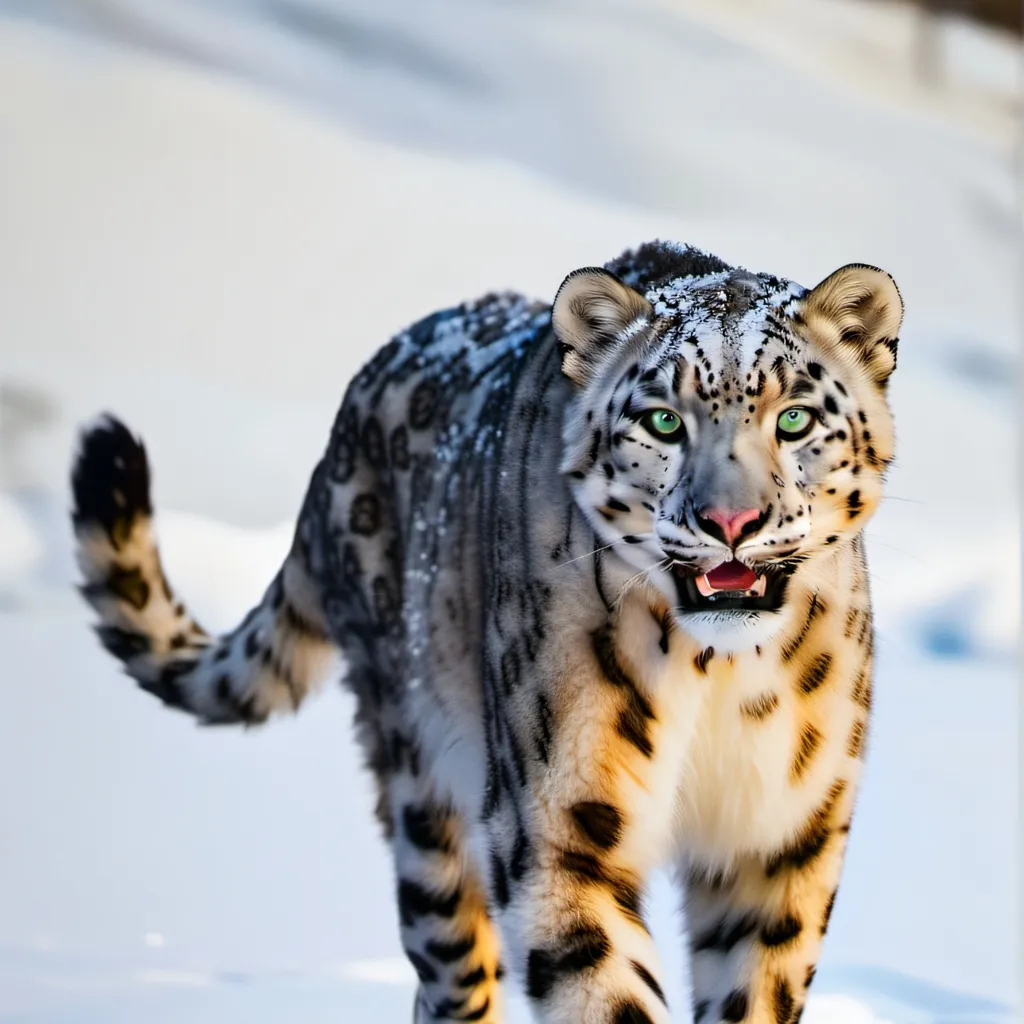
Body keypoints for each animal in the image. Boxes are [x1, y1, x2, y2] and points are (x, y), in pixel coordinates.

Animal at [70, 240, 902, 1024]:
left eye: (794, 417)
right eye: (663, 419)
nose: (730, 521)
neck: (719, 677)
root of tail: (342, 429)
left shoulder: (781, 840)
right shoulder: (561, 829)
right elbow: (606, 991)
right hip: (426, 794)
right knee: (453, 973)